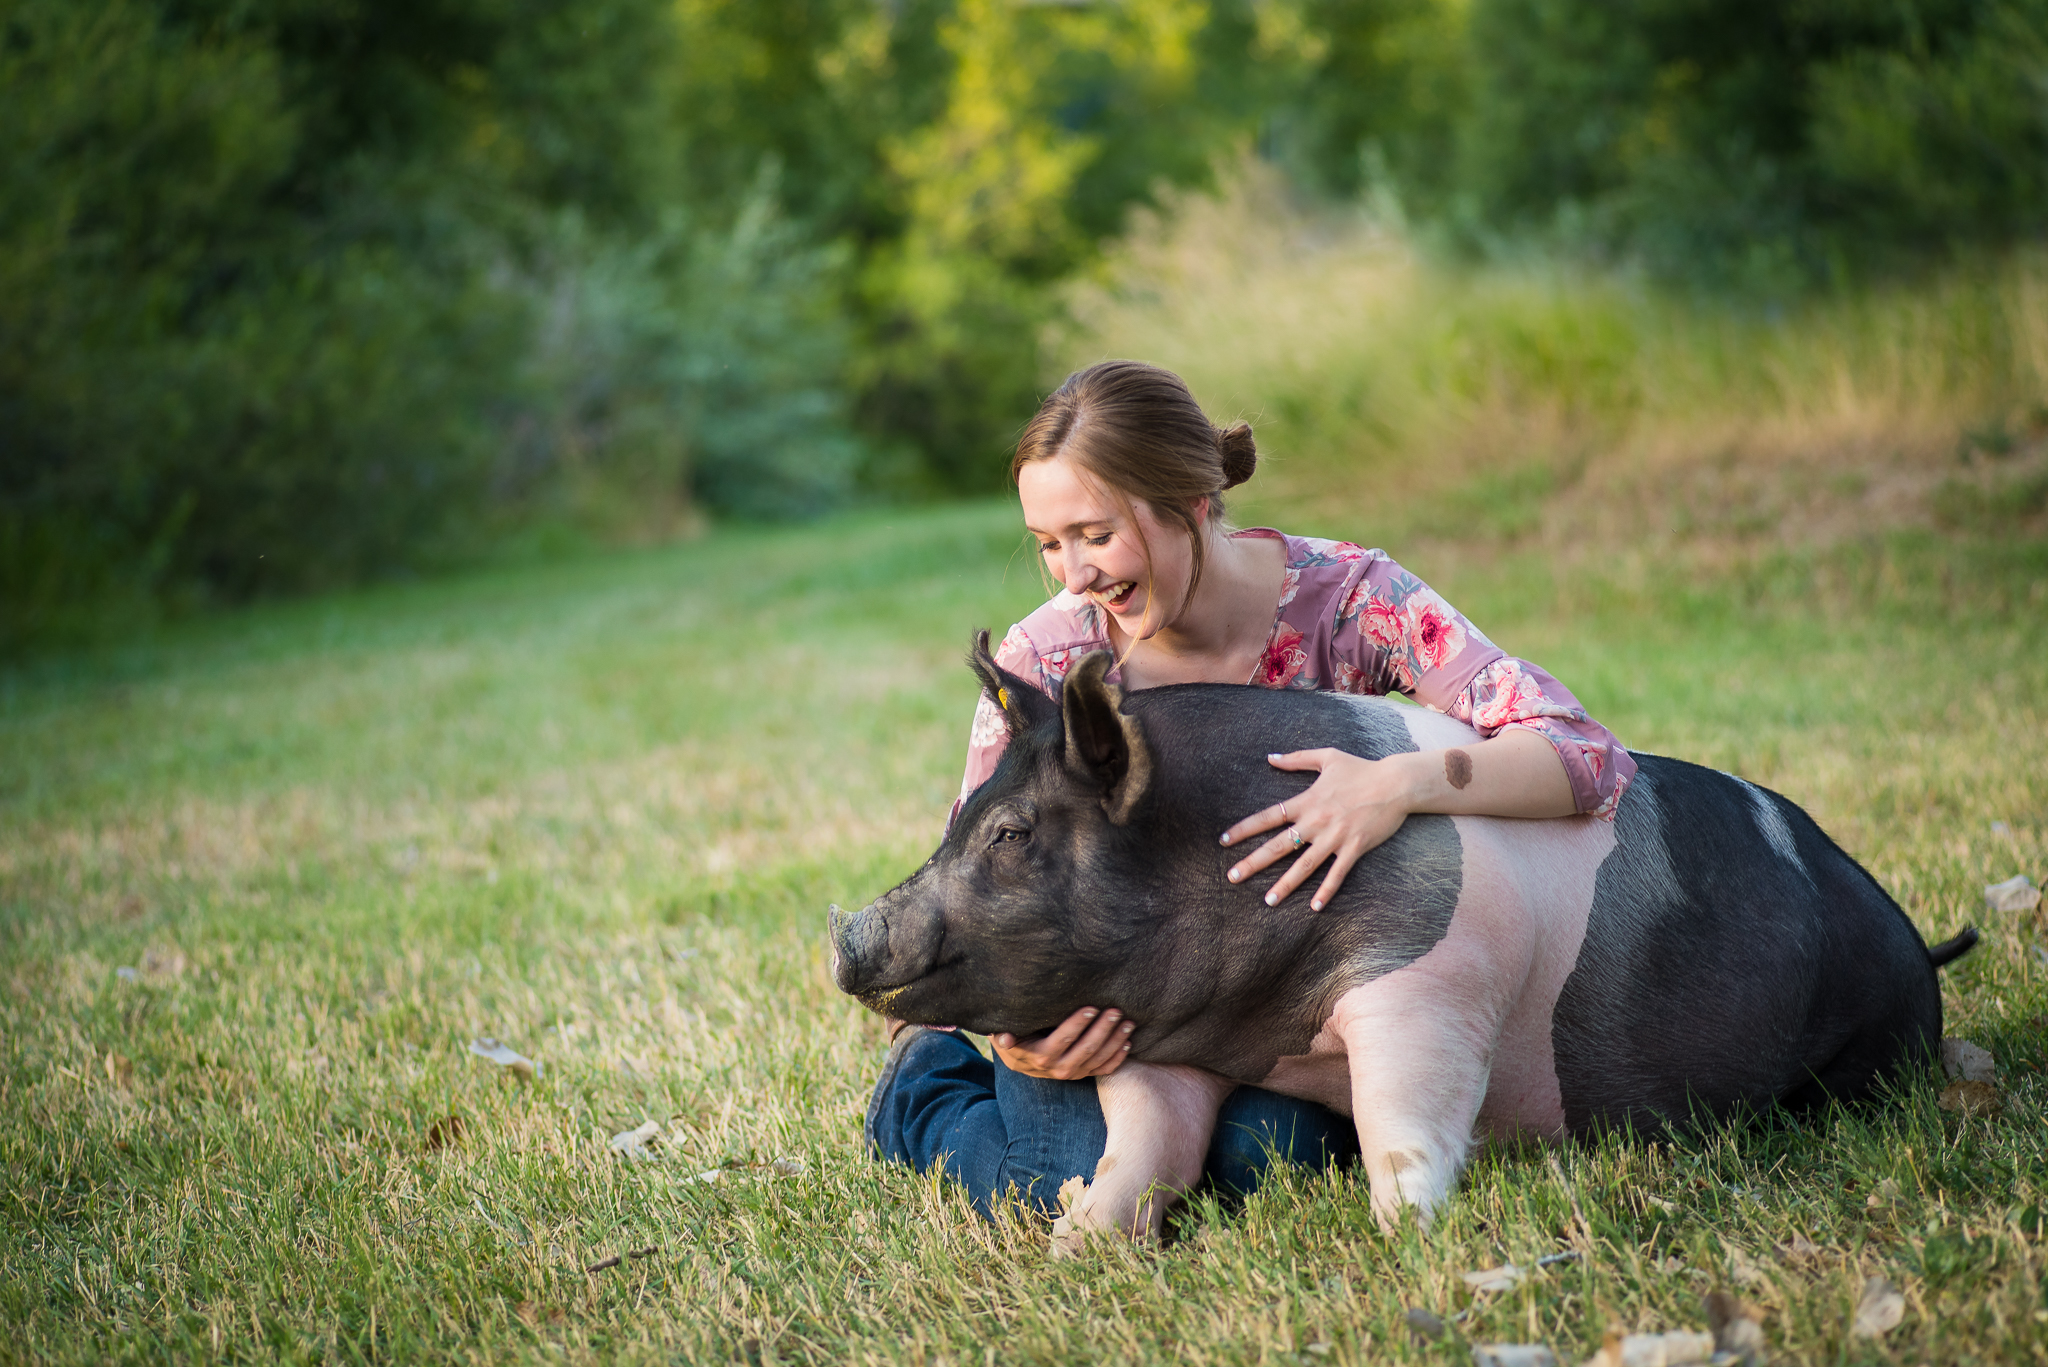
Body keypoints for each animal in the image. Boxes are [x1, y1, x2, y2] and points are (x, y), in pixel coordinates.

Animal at [823, 635, 1974, 1246]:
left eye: (1013, 833)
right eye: (963, 820)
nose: (847, 938)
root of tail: (1916, 946)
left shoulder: (1431, 980)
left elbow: (1401, 1120)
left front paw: (1407, 1236)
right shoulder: (1164, 1038)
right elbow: (1143, 1145)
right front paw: (1074, 1240)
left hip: (1869, 1046)